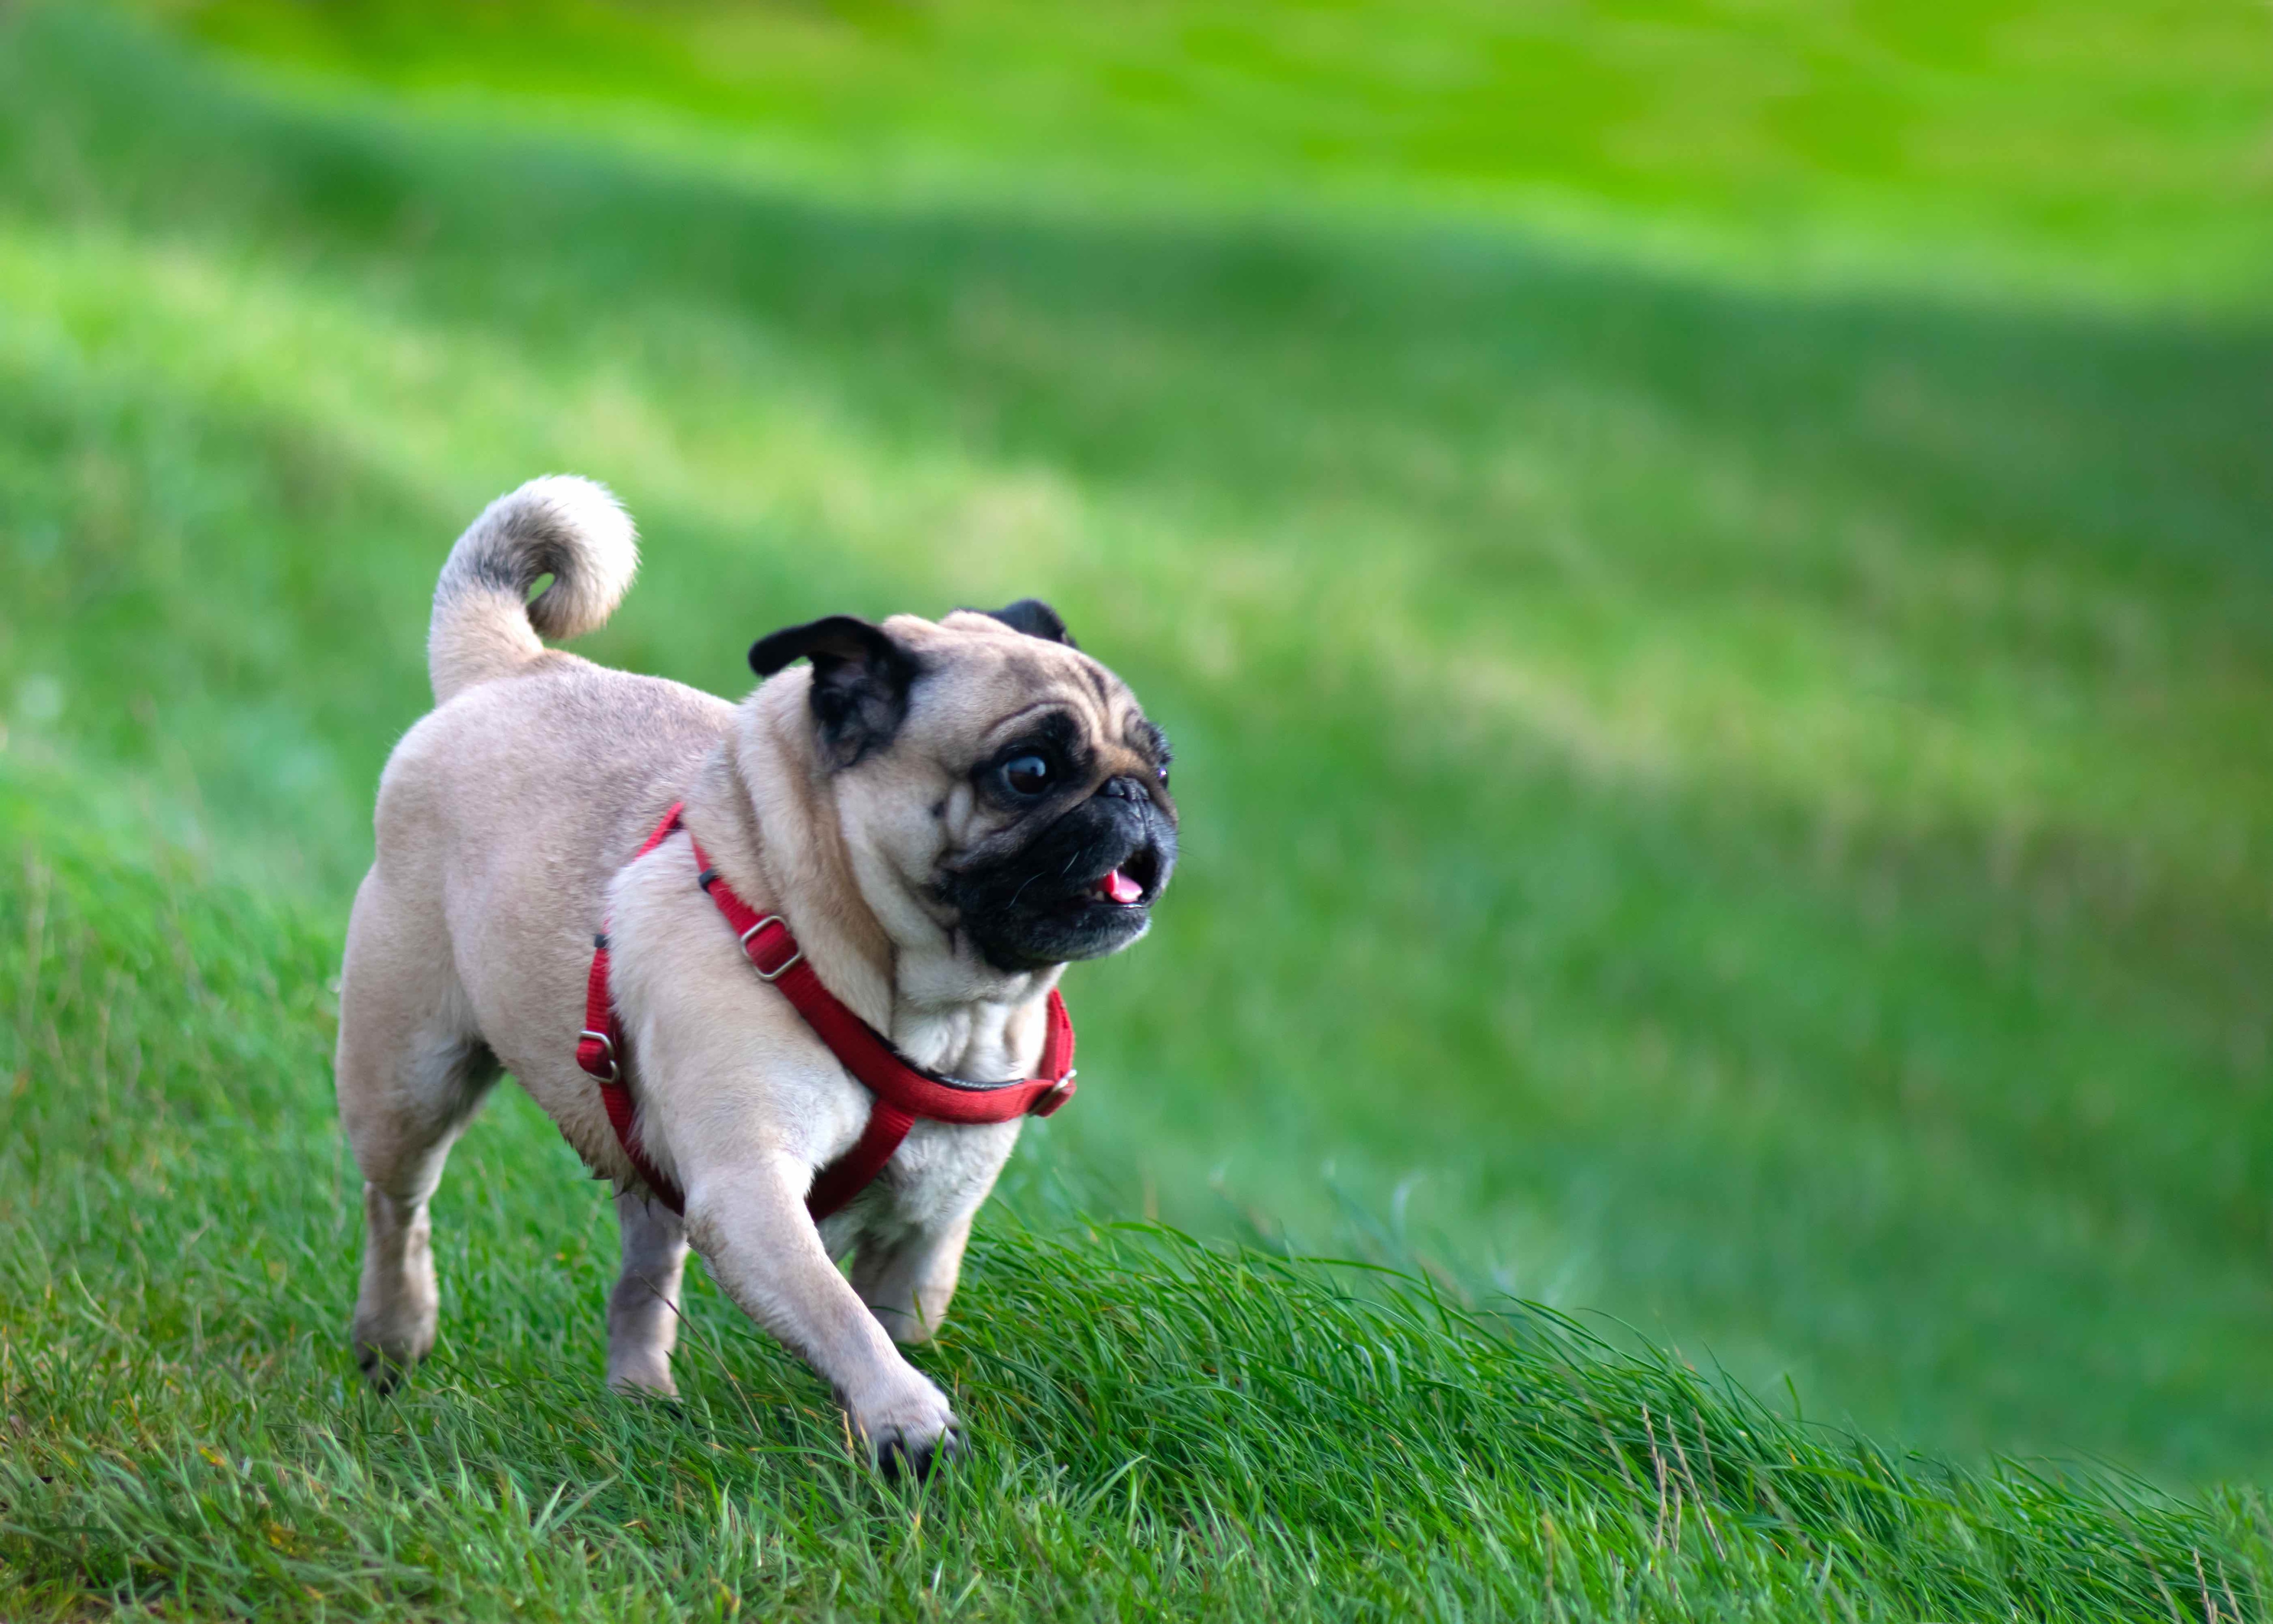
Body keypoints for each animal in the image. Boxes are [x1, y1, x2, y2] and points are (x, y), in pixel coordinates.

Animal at [345, 471, 1182, 1464]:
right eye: (1029, 771)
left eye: (1162, 762)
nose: (1134, 792)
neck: (941, 1009)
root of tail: (514, 667)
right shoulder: (751, 1189)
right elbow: (837, 1312)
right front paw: (907, 1420)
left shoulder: (926, 1233)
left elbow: (887, 1321)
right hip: (408, 1078)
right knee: (398, 1205)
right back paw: (395, 1335)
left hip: (647, 1143)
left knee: (643, 1272)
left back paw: (641, 1398)